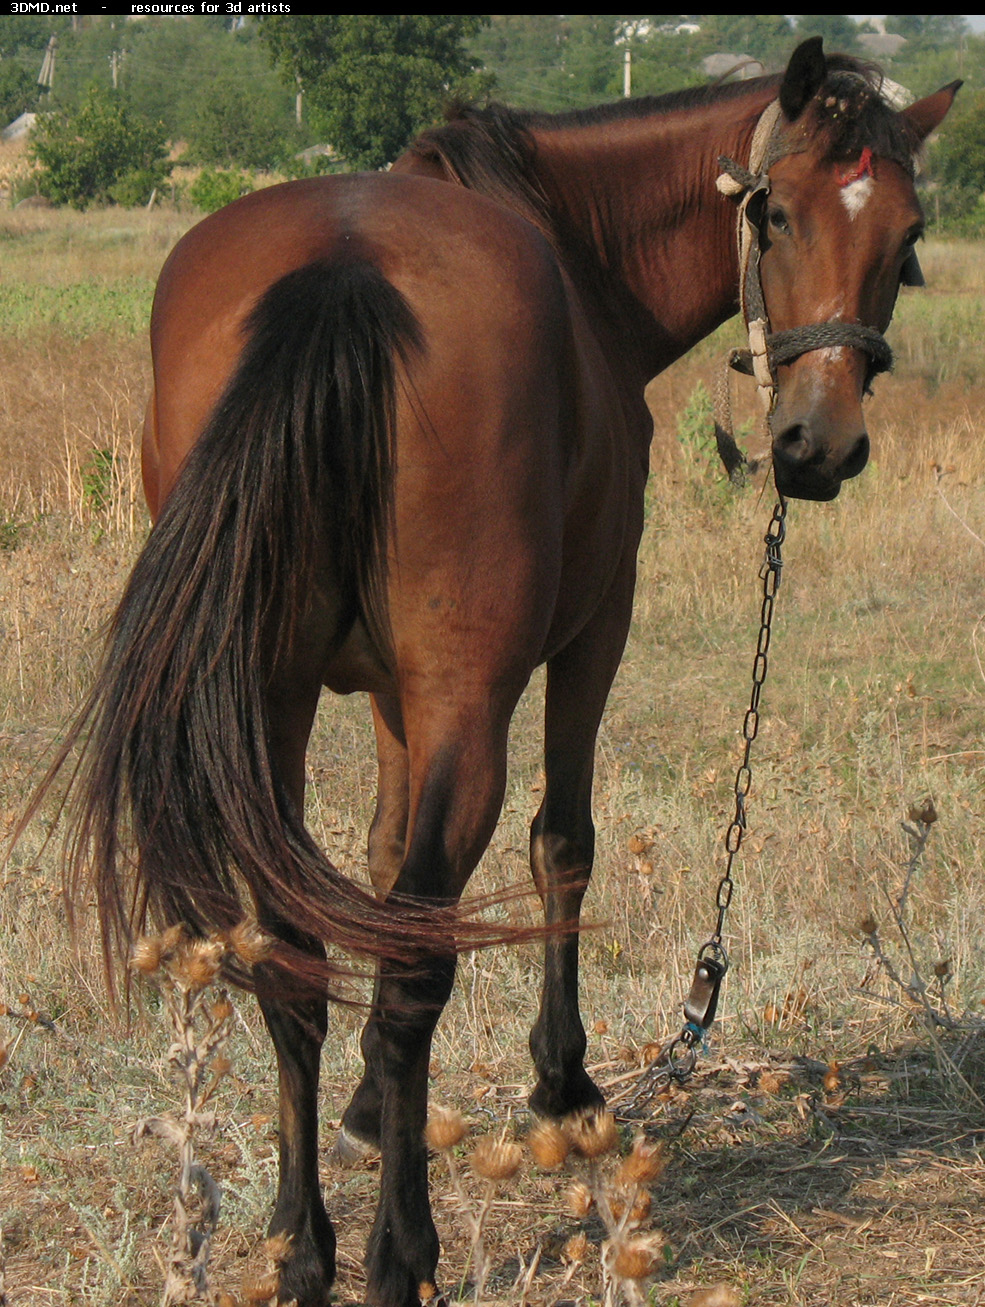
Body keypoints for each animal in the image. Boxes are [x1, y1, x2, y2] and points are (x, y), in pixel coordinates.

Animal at [38, 35, 951, 1307]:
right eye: (774, 212)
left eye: (905, 236)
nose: (816, 445)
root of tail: (346, 272)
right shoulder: (592, 628)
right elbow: (558, 842)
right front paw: (563, 1082)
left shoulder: (386, 698)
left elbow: (373, 872)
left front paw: (370, 1112)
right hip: (470, 699)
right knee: (416, 971)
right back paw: (398, 1253)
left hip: (268, 707)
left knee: (298, 963)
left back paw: (302, 1241)